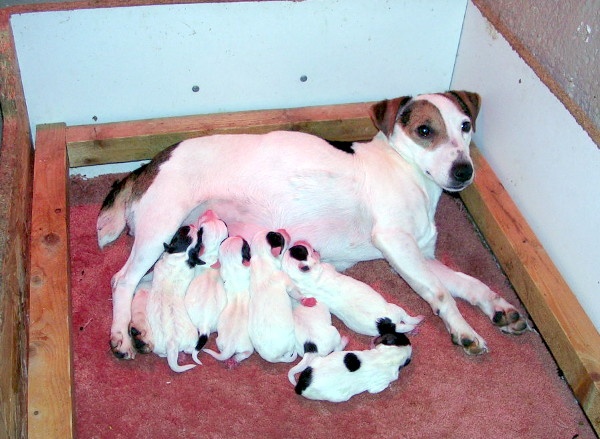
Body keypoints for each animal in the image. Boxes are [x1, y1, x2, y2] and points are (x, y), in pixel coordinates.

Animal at [144, 225, 205, 372]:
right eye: (183, 231)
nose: (193, 226)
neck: (180, 257)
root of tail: (172, 343)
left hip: (159, 346)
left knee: (164, 354)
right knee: (190, 349)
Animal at [204, 237, 255, 368]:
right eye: (245, 246)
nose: (236, 236)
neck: (233, 266)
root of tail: (230, 347)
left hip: (219, 341)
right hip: (247, 347)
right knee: (245, 353)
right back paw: (236, 359)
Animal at [284, 244, 424, 336]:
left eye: (298, 250)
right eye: (303, 251)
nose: (298, 244)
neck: (303, 277)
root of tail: (386, 324)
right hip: (395, 308)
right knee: (407, 318)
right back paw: (417, 320)